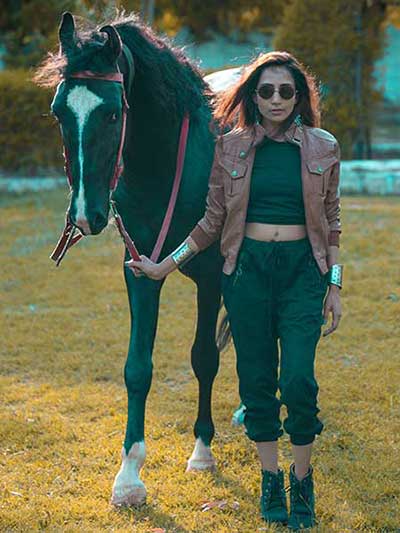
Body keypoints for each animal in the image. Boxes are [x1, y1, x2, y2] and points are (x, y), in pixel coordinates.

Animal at [35, 10, 238, 504]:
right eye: (58, 111)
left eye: (112, 112)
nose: (85, 214)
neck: (166, 168)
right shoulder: (141, 270)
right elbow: (137, 368)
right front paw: (128, 476)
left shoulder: (212, 276)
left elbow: (205, 356)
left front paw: (202, 452)